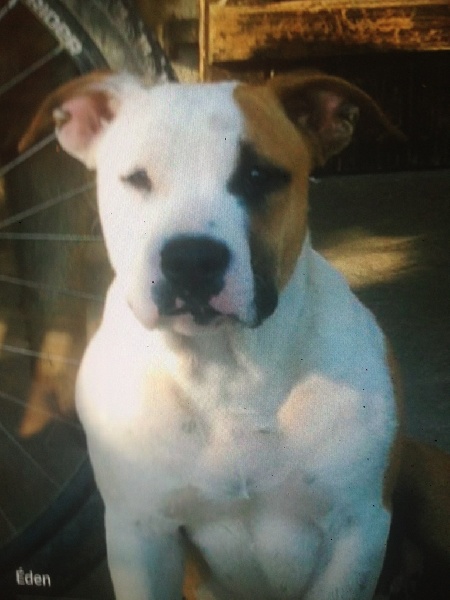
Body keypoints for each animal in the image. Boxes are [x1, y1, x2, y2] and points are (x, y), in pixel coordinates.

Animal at [20, 71, 447, 600]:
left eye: (259, 176)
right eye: (137, 178)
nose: (191, 259)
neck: (229, 370)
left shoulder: (355, 534)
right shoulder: (140, 534)